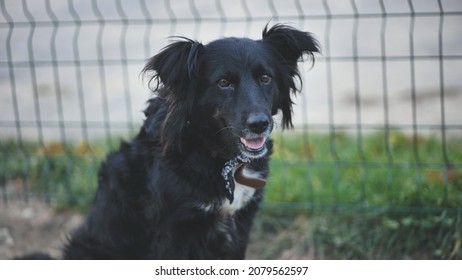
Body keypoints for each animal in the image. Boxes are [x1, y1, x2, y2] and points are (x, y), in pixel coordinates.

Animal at [52, 25, 320, 260]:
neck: (218, 156)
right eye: (224, 83)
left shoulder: (241, 223)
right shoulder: (175, 229)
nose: (259, 124)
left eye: (265, 78)